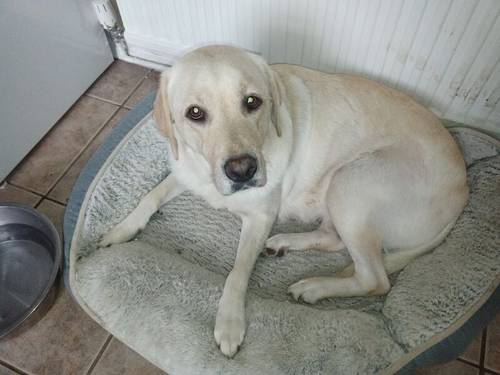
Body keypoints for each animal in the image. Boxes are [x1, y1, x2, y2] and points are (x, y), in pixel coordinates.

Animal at [100, 44, 468, 358]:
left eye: (252, 101)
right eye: (194, 113)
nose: (242, 170)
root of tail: (463, 194)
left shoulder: (260, 217)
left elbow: (237, 272)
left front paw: (229, 323)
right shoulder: (186, 172)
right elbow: (150, 196)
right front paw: (120, 230)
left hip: (351, 181)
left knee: (374, 279)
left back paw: (314, 287)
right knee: (333, 240)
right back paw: (283, 244)